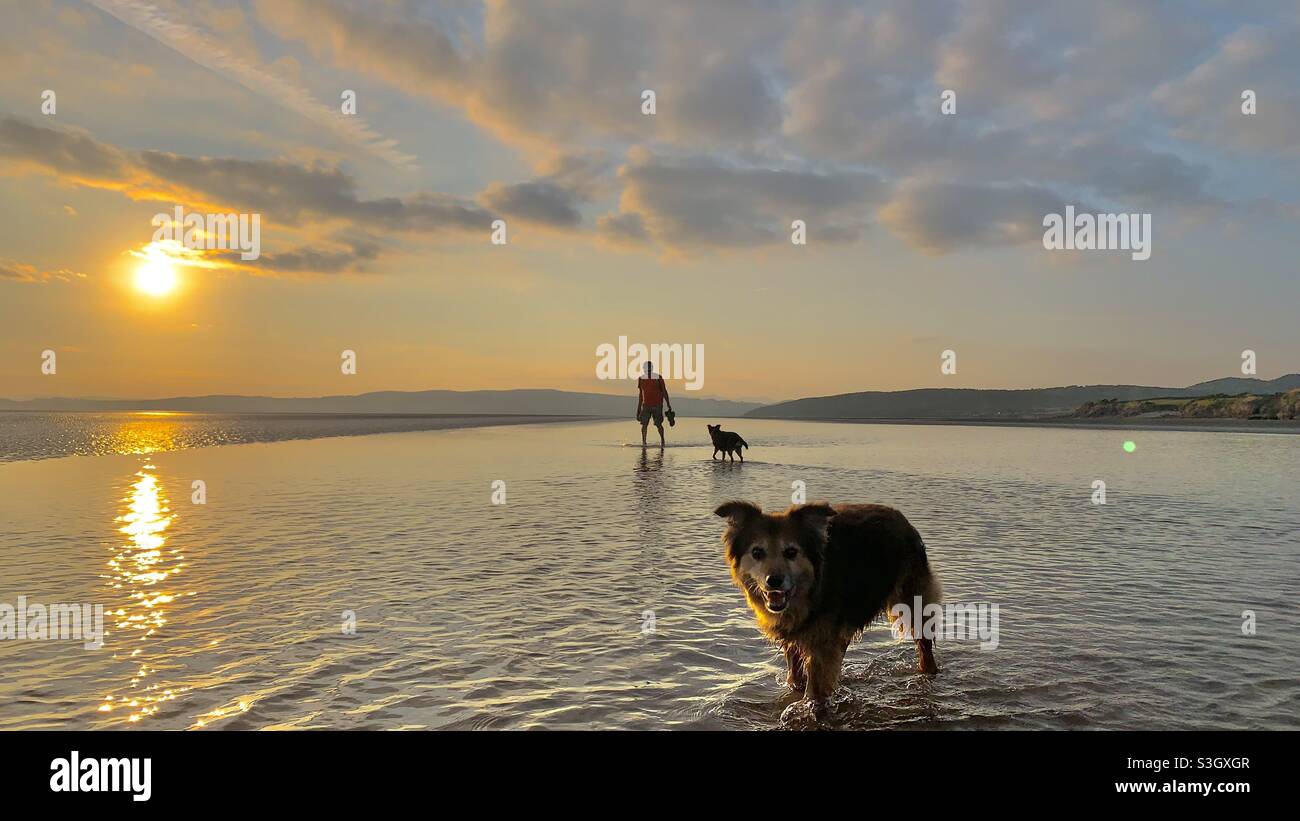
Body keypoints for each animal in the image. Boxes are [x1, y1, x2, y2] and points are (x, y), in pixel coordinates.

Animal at [717, 501, 941, 706]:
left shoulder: (822, 646)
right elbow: (796, 677)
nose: (774, 581)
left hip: (913, 603)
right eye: (757, 552)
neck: (810, 595)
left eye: (791, 552)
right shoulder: (798, 639)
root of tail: (901, 518)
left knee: (924, 646)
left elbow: (816, 689)